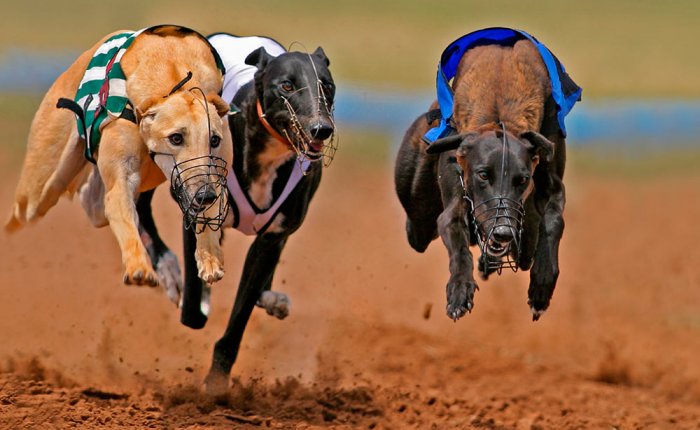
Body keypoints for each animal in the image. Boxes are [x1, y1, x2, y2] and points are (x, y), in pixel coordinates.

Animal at [6, 26, 231, 288]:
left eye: (214, 140)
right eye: (176, 138)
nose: (205, 195)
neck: (176, 74)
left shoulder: (214, 175)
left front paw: (209, 258)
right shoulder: (121, 182)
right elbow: (124, 218)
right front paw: (139, 267)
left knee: (90, 198)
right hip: (38, 192)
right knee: (23, 214)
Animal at [137, 33, 336, 394]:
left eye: (326, 85)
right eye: (287, 85)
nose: (321, 128)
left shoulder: (272, 237)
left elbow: (244, 305)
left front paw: (216, 381)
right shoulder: (196, 211)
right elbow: (193, 313)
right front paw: (196, 290)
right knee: (141, 207)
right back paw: (169, 270)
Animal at [396, 27, 584, 320]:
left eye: (523, 179)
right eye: (483, 175)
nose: (504, 232)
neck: (500, 113)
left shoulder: (550, 181)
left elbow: (554, 220)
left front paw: (542, 285)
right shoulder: (458, 188)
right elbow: (454, 231)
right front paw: (459, 290)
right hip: (418, 215)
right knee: (418, 228)